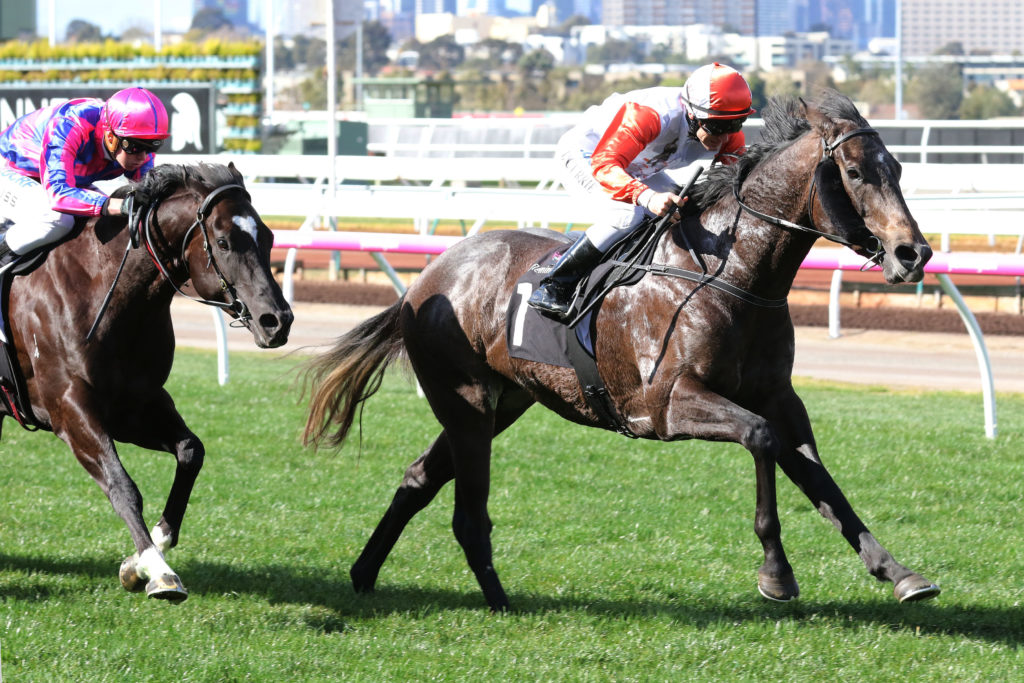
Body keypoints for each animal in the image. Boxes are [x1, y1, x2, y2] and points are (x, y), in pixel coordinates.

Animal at [0, 162, 293, 602]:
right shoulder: (69, 407)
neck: (103, 289)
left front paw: (138, 560)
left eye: (269, 237)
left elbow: (191, 451)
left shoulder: (136, 405)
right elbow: (122, 486)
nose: (277, 321)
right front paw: (158, 571)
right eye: (224, 242)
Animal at [302, 92, 939, 611]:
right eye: (853, 172)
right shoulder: (666, 404)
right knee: (467, 511)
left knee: (418, 479)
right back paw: (500, 602)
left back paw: (364, 575)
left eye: (898, 168)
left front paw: (900, 573)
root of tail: (426, 279)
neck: (730, 273)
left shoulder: (779, 397)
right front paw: (776, 575)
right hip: (466, 403)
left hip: (501, 402)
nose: (913, 254)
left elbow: (818, 478)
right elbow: (761, 440)